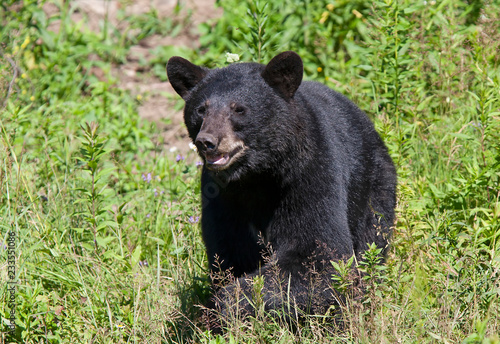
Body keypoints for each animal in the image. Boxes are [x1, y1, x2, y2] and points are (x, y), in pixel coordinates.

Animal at [166, 51, 396, 328]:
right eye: (201, 109)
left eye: (239, 109)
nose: (207, 141)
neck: (256, 177)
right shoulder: (221, 197)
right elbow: (227, 254)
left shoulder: (310, 173)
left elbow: (320, 255)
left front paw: (225, 304)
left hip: (372, 186)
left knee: (371, 241)